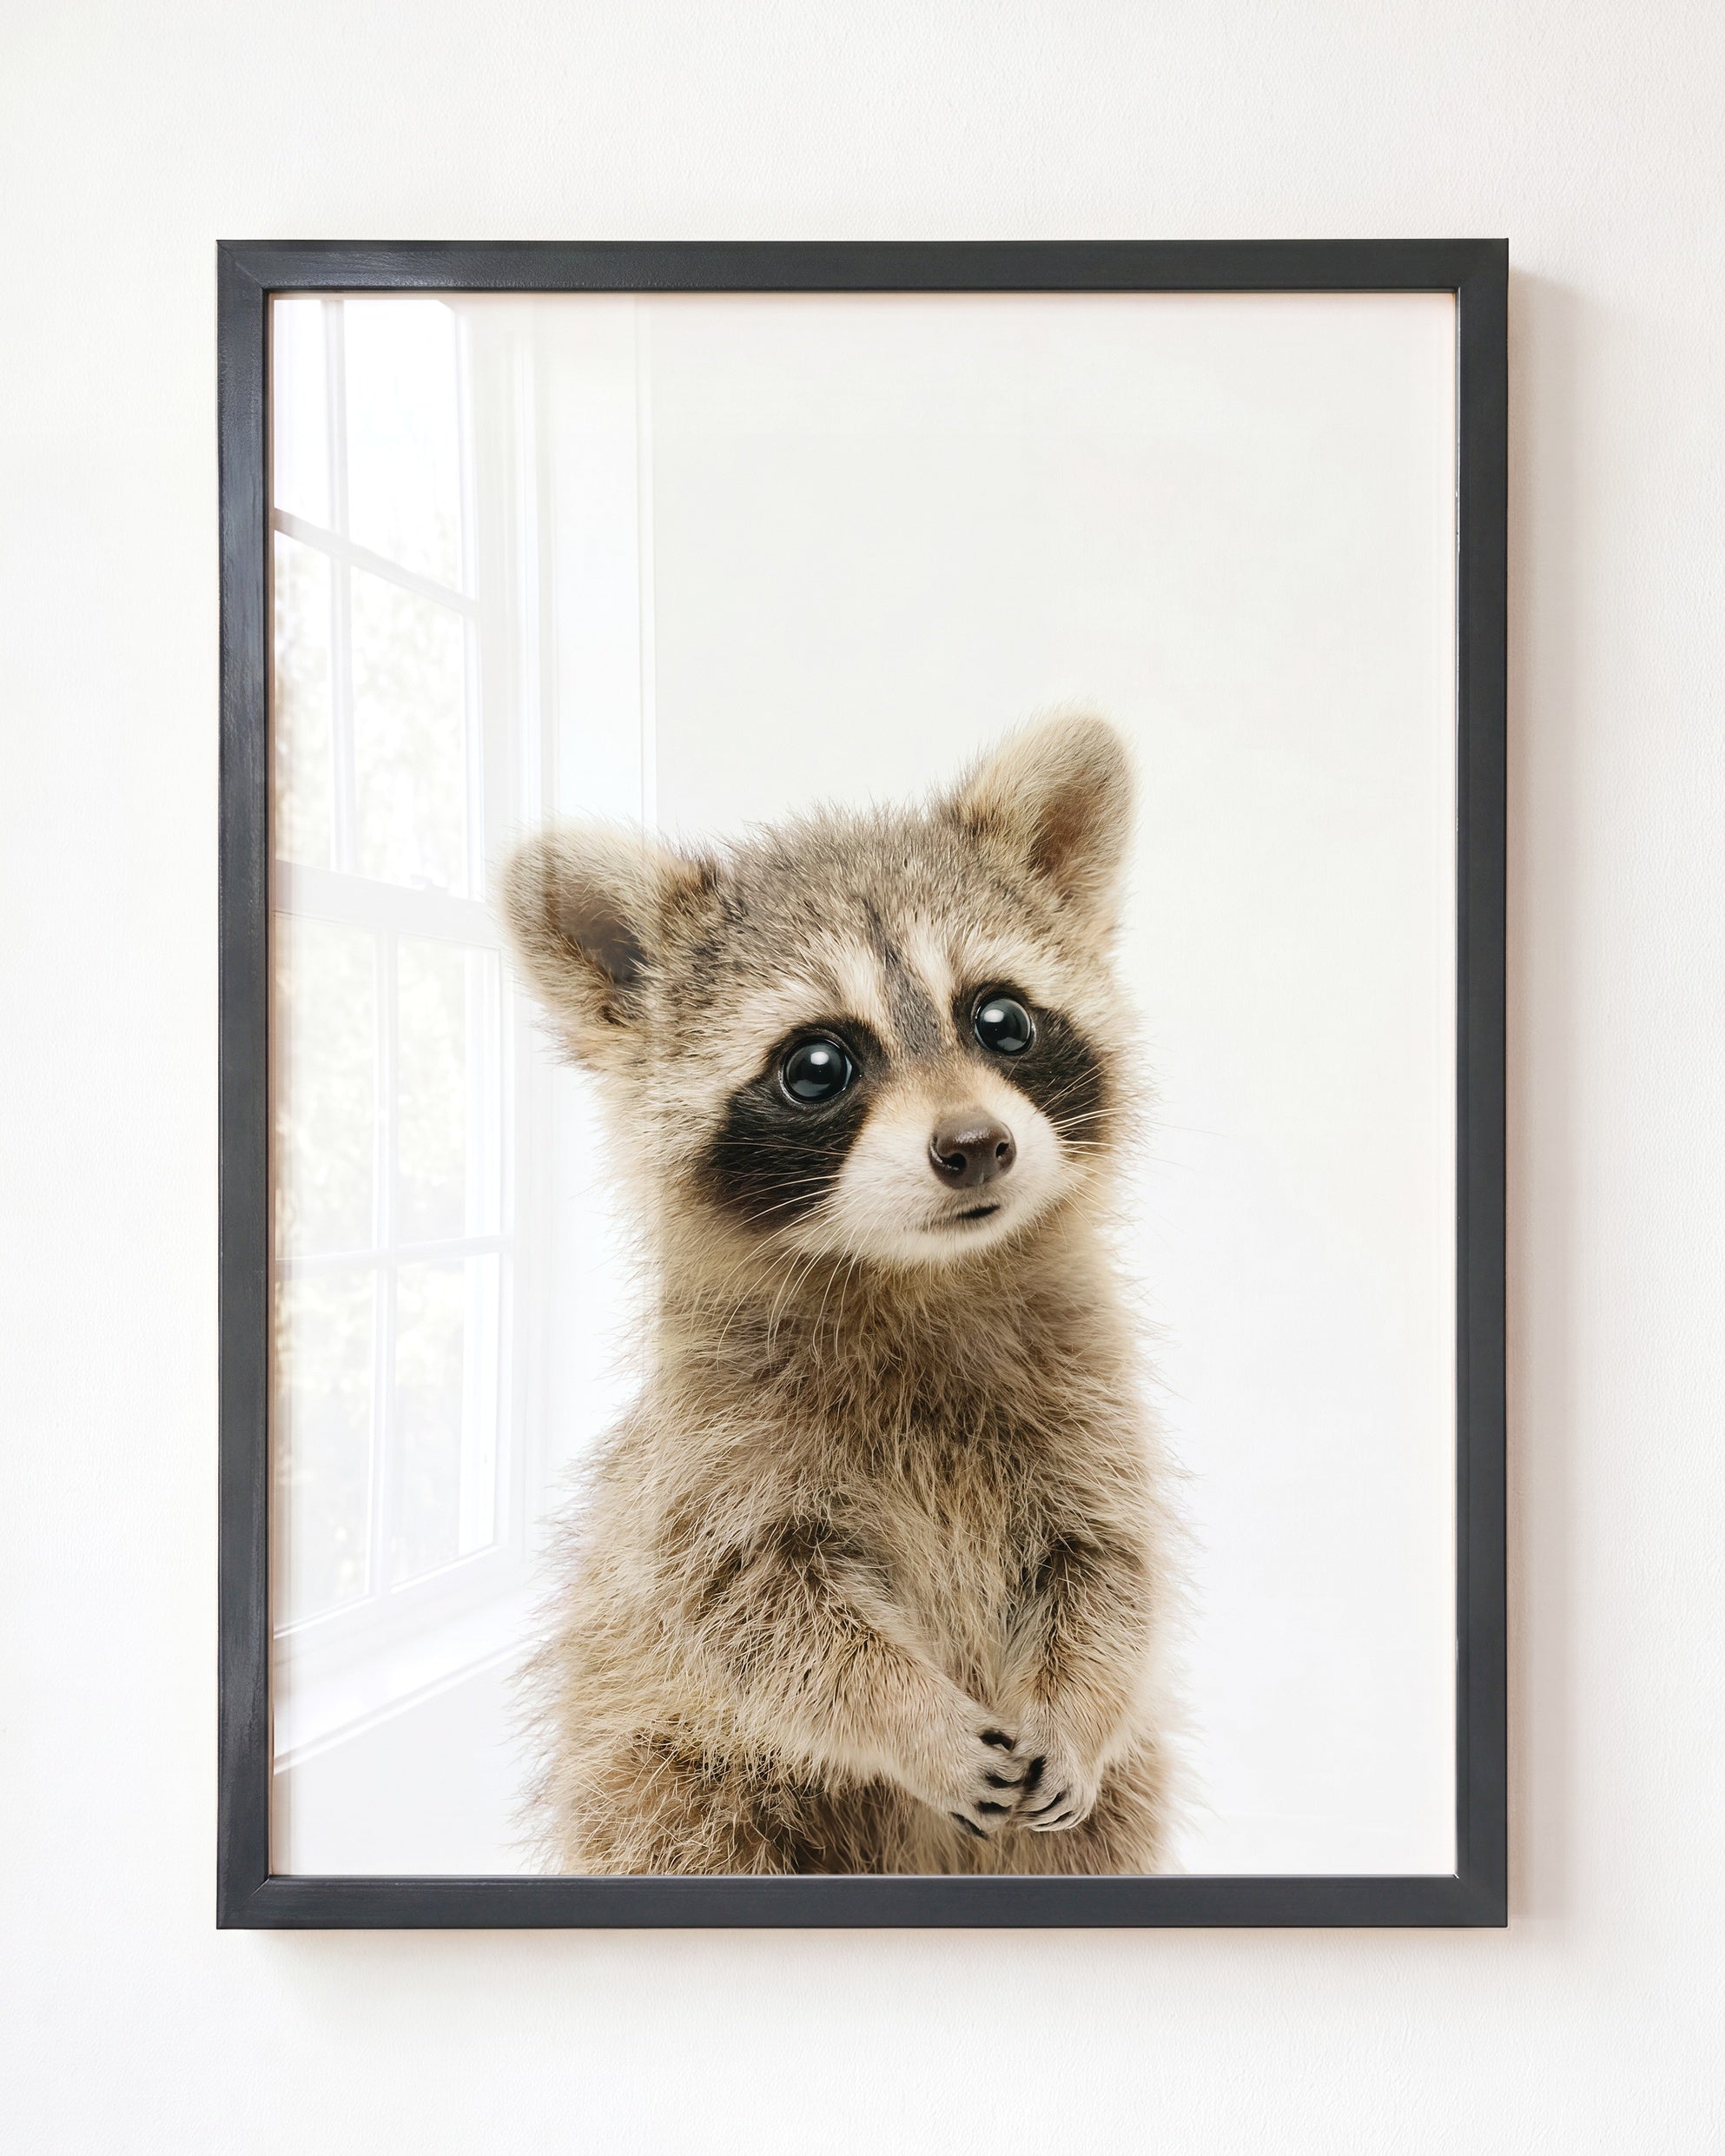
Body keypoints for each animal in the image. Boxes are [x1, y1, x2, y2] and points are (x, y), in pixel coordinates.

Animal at [501, 715, 1179, 1874]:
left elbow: (1109, 1569)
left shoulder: (1088, 1406)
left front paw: (1080, 1703)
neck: (918, 1275)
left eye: (1002, 1019)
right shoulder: (710, 1460)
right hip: (667, 1779)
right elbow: (757, 1616)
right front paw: (911, 1718)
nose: (975, 1145)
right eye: (818, 1065)